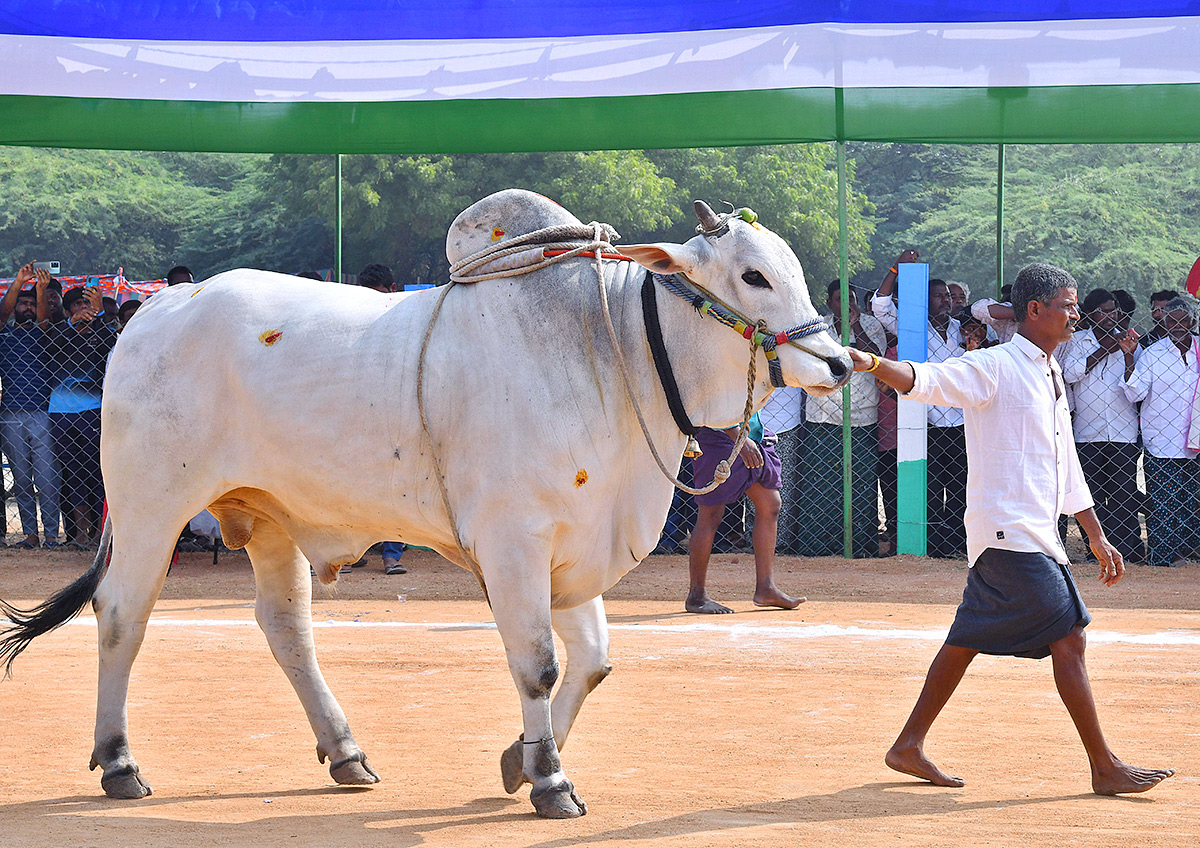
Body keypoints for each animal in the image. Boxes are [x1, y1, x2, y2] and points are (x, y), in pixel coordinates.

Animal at [0, 190, 854, 815]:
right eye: (753, 277)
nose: (841, 364)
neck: (609, 352)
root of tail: (156, 311)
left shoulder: (570, 540)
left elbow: (594, 661)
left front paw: (519, 759)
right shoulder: (514, 539)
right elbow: (539, 663)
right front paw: (549, 781)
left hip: (270, 516)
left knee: (286, 629)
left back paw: (346, 752)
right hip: (150, 506)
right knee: (121, 616)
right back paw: (119, 762)